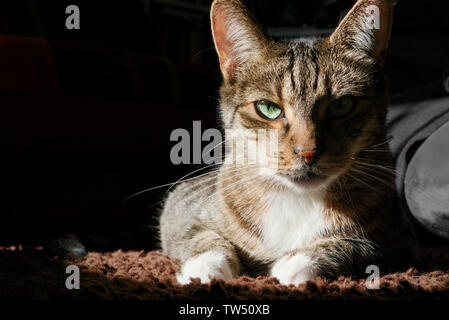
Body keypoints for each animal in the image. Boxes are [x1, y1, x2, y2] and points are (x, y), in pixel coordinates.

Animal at [158, 0, 412, 284]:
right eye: (268, 108)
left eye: (342, 105)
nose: (307, 152)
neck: (298, 199)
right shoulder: (182, 209)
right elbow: (200, 236)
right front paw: (205, 267)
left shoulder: (399, 244)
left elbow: (357, 245)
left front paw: (299, 262)